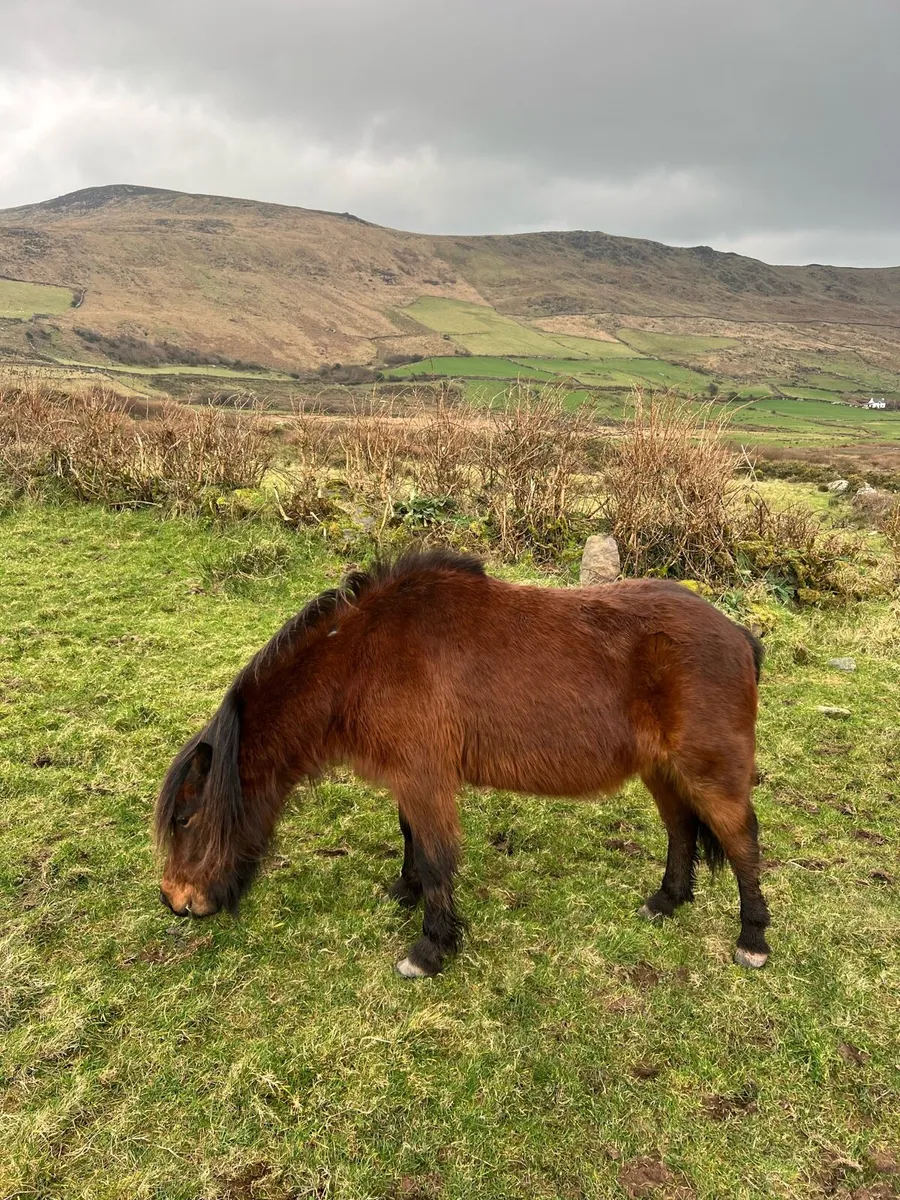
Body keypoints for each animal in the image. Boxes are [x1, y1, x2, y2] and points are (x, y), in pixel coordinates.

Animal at [155, 548, 770, 978]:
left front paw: (430, 949)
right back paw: (667, 901)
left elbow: (434, 856)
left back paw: (753, 939)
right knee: (681, 828)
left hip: (710, 772)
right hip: (662, 770)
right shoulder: (409, 777)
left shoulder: (426, 779)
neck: (363, 655)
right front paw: (405, 892)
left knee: (741, 841)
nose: (173, 901)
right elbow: (410, 837)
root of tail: (738, 635)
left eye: (185, 820)